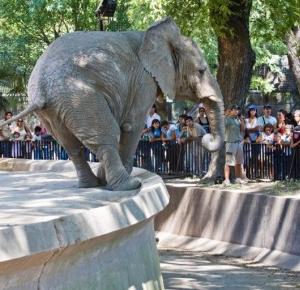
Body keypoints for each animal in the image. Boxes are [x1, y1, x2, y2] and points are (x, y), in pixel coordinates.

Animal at [0, 17, 224, 191]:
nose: (206, 138)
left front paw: (103, 177)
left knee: (71, 146)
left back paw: (91, 184)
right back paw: (128, 185)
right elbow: (132, 126)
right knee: (106, 135)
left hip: (55, 108)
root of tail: (41, 89)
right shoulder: (143, 81)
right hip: (80, 96)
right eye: (201, 71)